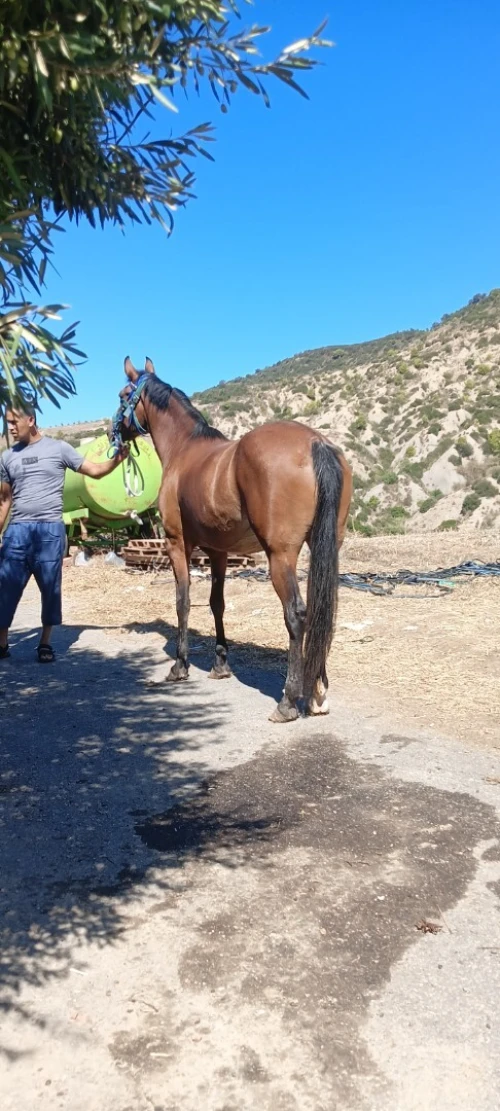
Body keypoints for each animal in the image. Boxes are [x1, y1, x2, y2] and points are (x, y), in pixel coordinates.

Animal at [112, 357, 352, 723]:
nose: (113, 433)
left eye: (124, 394)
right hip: (326, 548)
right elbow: (217, 603)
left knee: (296, 614)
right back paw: (317, 695)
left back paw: (289, 701)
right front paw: (220, 664)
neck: (184, 448)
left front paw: (179, 666)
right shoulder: (219, 552)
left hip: (280, 556)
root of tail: (315, 443)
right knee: (323, 608)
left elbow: (183, 601)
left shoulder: (177, 544)